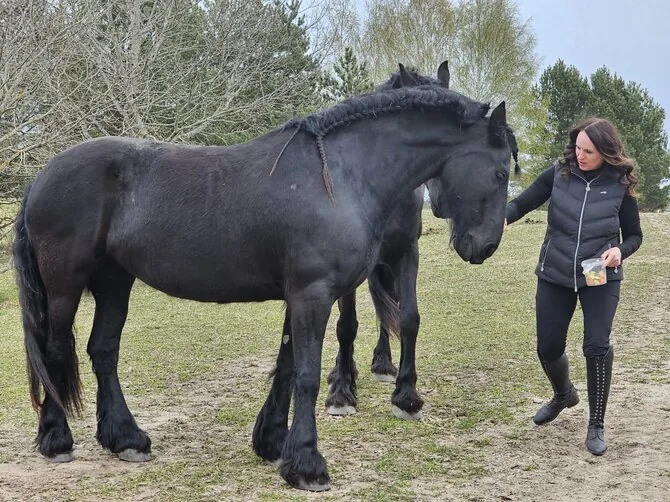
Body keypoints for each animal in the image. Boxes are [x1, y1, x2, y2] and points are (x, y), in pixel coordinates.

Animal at [324, 62, 520, 421]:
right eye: (500, 174)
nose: (487, 245)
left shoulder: (406, 253)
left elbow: (407, 317)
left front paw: (406, 394)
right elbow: (346, 324)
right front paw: (342, 392)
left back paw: (383, 363)